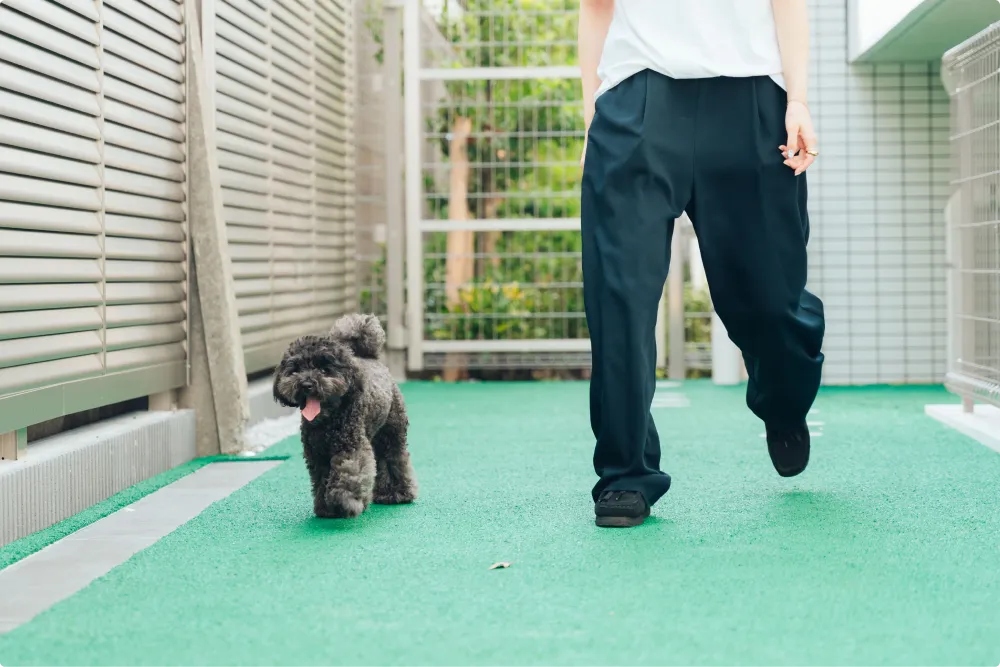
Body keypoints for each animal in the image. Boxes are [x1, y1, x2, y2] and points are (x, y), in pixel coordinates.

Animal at [270, 316, 418, 520]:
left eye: (324, 370)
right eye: (296, 369)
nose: (306, 384)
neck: (328, 421)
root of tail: (371, 358)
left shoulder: (352, 447)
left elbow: (348, 473)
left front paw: (344, 501)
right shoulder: (317, 454)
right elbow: (322, 479)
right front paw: (326, 508)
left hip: (392, 431)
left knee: (394, 458)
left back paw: (397, 493)